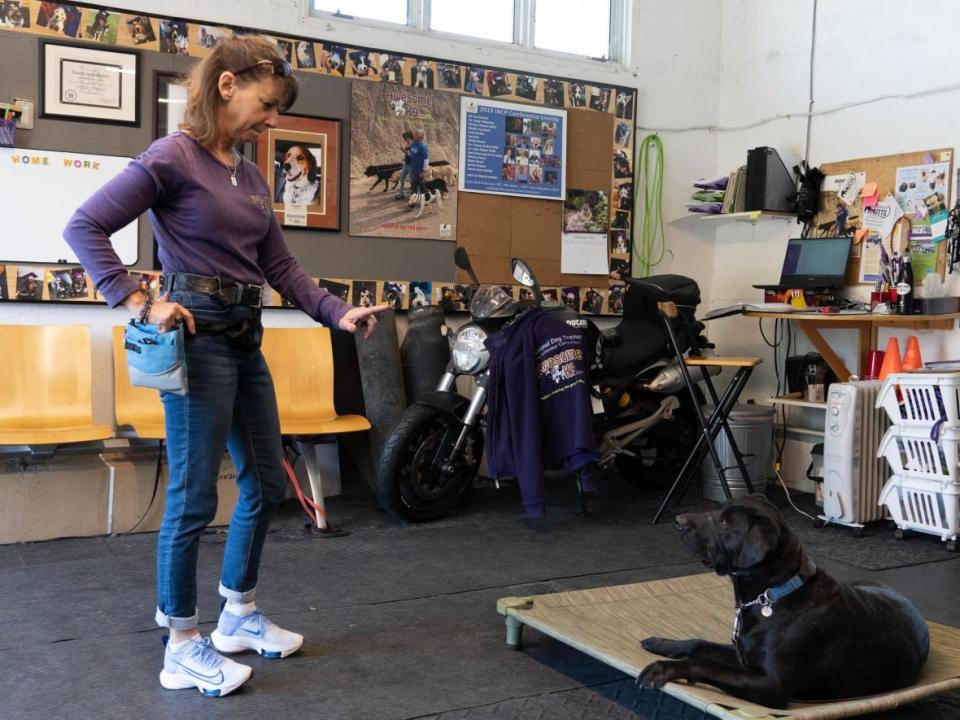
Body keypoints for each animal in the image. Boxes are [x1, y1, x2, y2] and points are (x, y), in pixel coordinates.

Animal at [636, 496, 928, 708]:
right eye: (719, 510)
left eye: (724, 522)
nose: (678, 520)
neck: (771, 595)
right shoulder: (743, 656)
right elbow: (699, 644)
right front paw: (662, 643)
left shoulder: (770, 685)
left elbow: (705, 664)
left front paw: (663, 669)